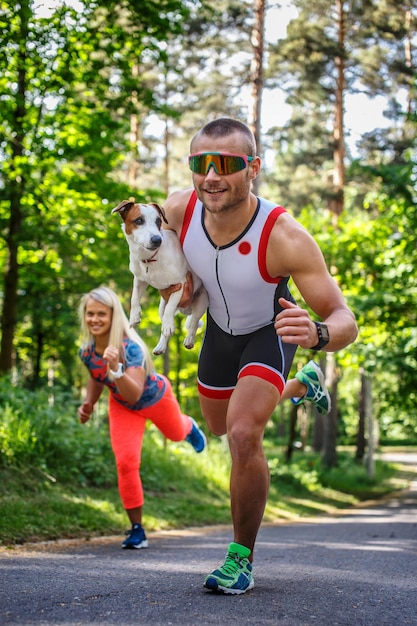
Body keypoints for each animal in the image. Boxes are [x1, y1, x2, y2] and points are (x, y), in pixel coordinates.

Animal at [111, 200, 207, 356]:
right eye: (139, 220)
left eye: (158, 221)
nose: (157, 240)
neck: (150, 259)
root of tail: (186, 309)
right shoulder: (139, 279)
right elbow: (134, 298)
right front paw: (134, 316)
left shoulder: (181, 283)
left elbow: (170, 309)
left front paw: (168, 325)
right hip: (161, 307)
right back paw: (161, 346)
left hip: (201, 301)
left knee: (193, 322)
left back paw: (188, 339)